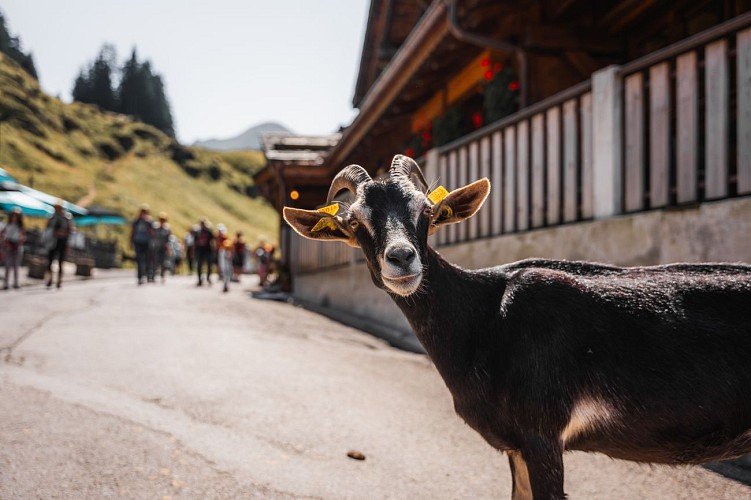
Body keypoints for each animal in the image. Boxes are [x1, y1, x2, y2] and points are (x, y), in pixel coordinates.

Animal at [283, 154, 751, 499]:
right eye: (354, 222)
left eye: (427, 211)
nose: (402, 258)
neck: (487, 317)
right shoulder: (518, 446)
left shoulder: (542, 435)